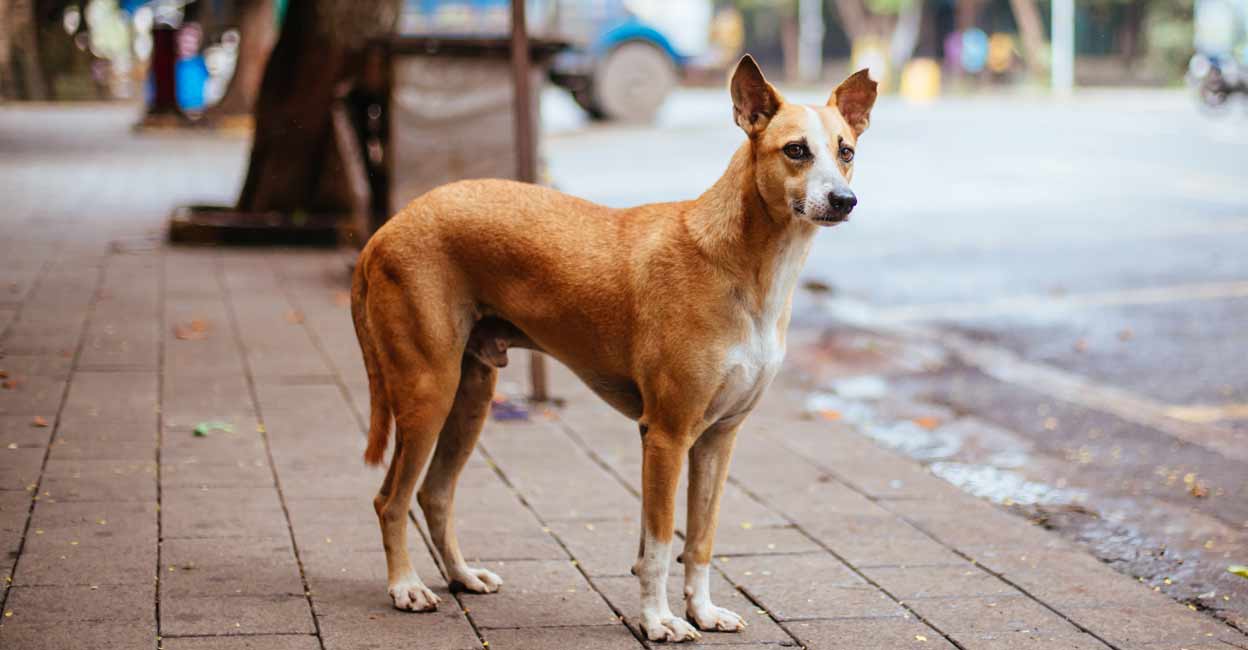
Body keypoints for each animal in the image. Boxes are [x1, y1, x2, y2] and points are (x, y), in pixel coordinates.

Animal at [351, 54, 878, 638]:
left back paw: (462, 576)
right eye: (796, 150)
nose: (844, 200)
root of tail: (388, 228)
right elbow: (659, 545)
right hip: (429, 393)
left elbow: (699, 540)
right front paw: (658, 621)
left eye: (846, 151)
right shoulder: (666, 435)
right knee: (390, 499)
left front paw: (702, 611)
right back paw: (405, 586)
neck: (747, 266)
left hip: (471, 397)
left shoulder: (718, 439)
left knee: (434, 494)